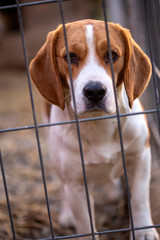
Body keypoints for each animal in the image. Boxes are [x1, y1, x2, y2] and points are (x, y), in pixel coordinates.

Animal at [29, 19, 159, 240]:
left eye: (112, 55)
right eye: (70, 56)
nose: (95, 91)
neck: (99, 123)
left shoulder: (140, 155)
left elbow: (139, 199)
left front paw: (144, 231)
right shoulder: (76, 184)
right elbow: (85, 225)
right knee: (62, 187)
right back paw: (67, 214)